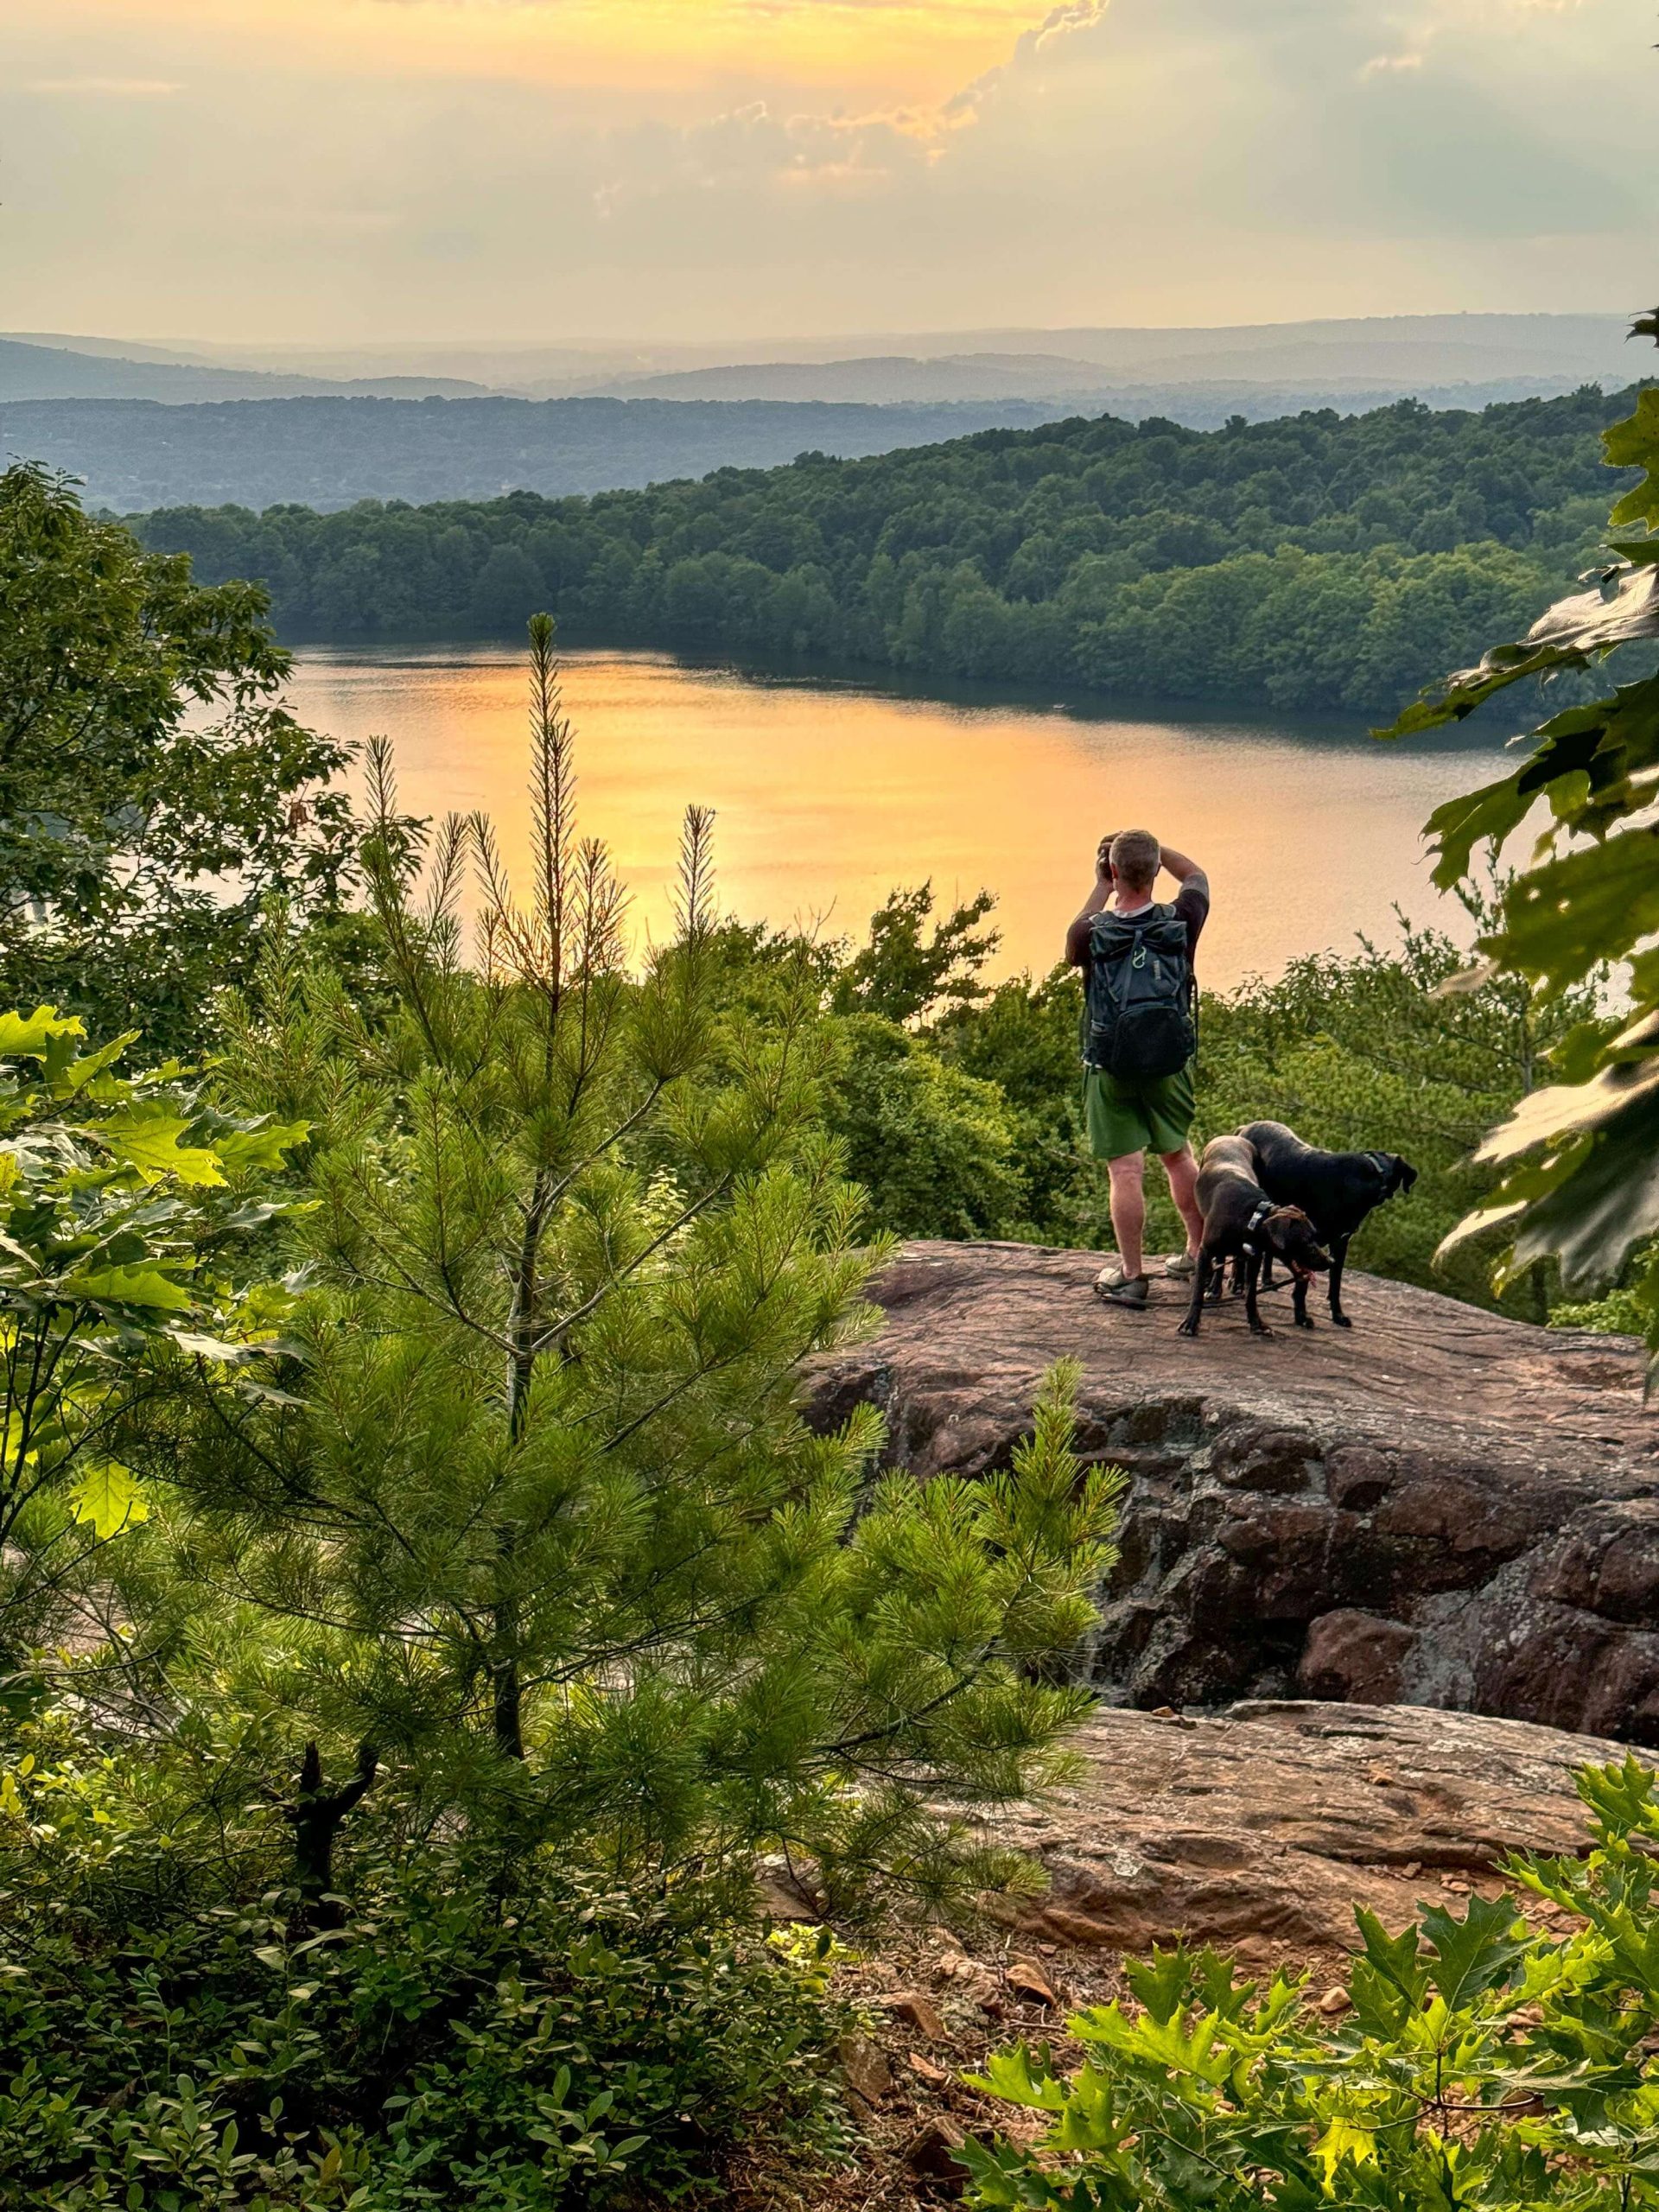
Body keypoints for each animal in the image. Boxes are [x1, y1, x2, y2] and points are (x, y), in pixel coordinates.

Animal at [1185, 1141, 1336, 1327]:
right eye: (1306, 1240)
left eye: (1315, 1236)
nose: (1331, 1261)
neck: (1252, 1217)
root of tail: (1229, 1137)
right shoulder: (1205, 1251)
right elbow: (1198, 1290)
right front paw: (1190, 1322)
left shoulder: (1255, 1257)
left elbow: (1251, 1294)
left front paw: (1257, 1324)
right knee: (1220, 1260)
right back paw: (1215, 1288)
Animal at [1238, 1123, 1424, 1327]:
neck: (1368, 1176)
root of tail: (1245, 1127)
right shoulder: (1308, 1243)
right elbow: (1303, 1283)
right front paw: (1302, 1316)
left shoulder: (1340, 1243)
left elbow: (1335, 1284)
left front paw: (1338, 1315)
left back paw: (1267, 1279)